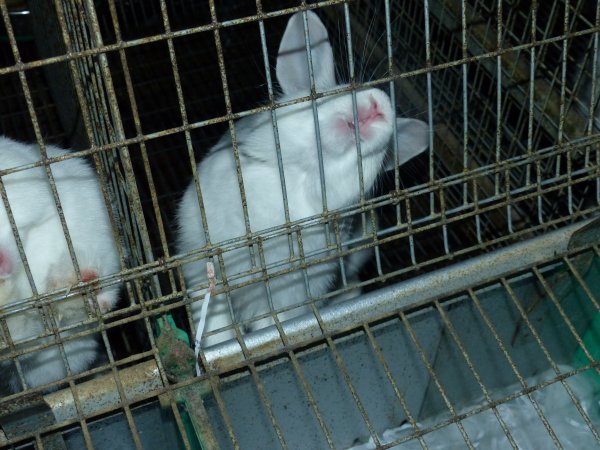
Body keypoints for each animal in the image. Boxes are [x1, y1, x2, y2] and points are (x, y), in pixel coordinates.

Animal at [176, 10, 428, 348]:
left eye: (383, 151)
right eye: (330, 92)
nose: (378, 106)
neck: (295, 183)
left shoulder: (290, 299)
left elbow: (271, 326)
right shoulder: (204, 271)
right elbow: (217, 324)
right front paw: (215, 348)